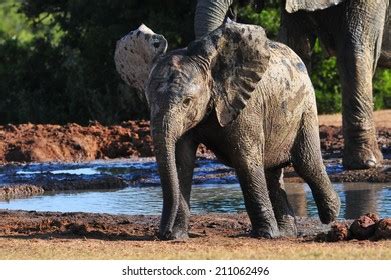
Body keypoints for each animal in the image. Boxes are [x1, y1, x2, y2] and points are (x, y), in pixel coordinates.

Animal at [115, 22, 340, 241]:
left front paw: (266, 235)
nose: (162, 233)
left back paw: (331, 213)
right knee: (273, 172)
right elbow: (181, 163)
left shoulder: (246, 107)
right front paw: (177, 237)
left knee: (306, 163)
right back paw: (287, 233)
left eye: (187, 101)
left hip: (306, 106)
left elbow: (246, 160)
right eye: (149, 103)